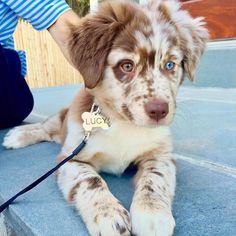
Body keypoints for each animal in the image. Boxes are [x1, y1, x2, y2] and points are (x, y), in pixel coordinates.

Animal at [2, 0, 207, 235]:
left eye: (170, 65)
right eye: (127, 66)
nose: (159, 111)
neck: (124, 123)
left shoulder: (161, 154)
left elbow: (156, 177)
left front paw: (152, 213)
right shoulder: (70, 158)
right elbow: (90, 181)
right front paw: (108, 214)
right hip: (62, 121)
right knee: (44, 128)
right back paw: (17, 136)